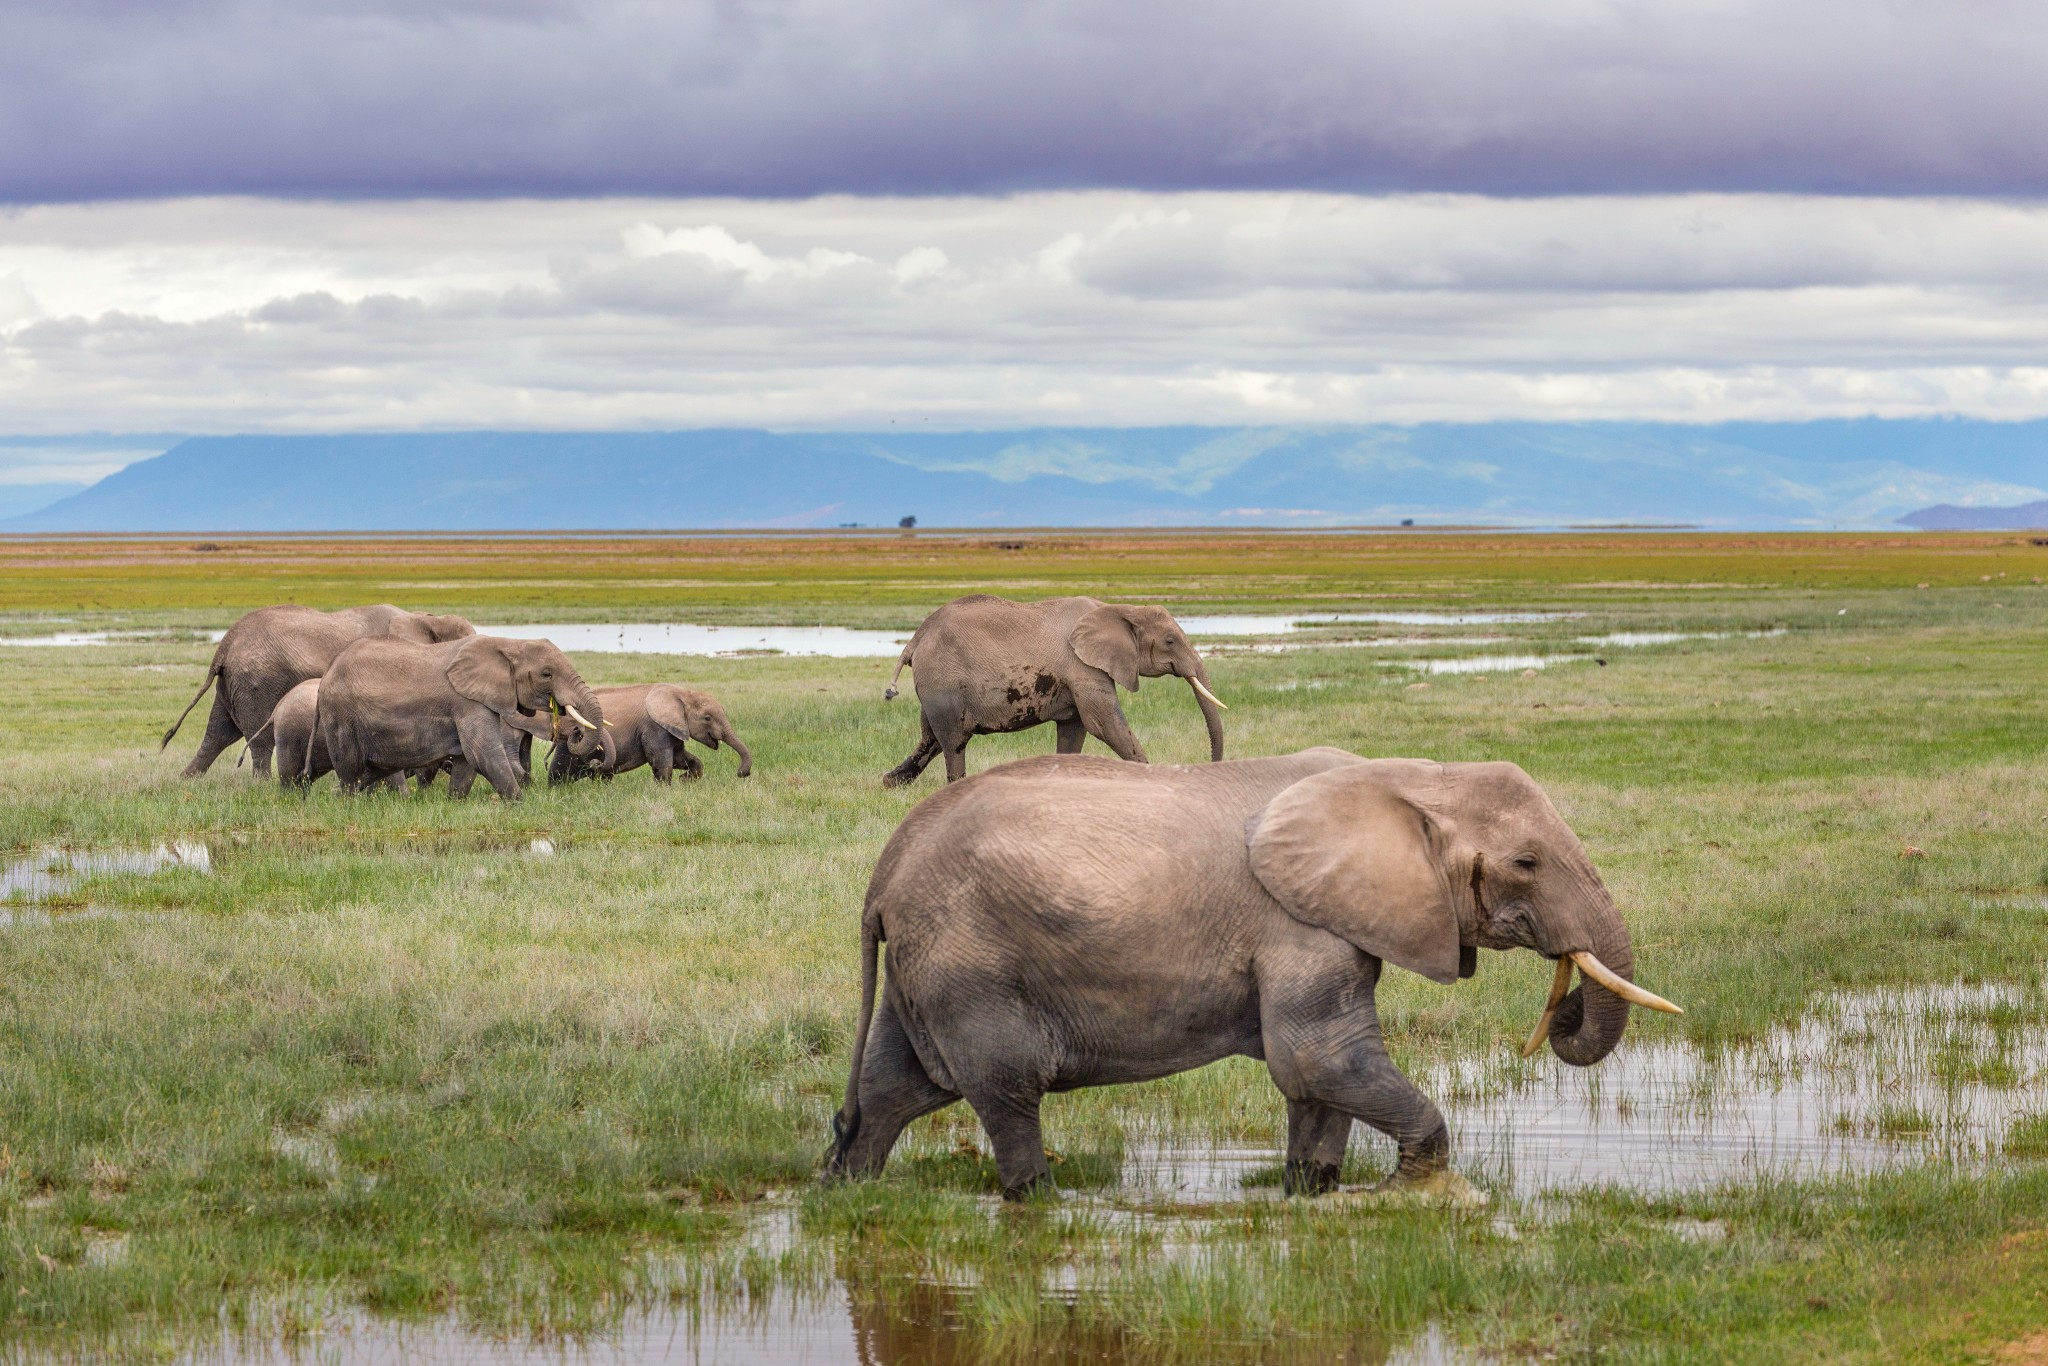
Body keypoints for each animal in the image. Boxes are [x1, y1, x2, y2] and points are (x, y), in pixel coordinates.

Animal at [160, 602, 475, 774]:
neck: (424, 618)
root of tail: (225, 644)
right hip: (256, 684)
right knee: (258, 743)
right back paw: (262, 787)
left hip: (234, 685)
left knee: (216, 736)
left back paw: (185, 783)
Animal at [307, 634, 602, 802]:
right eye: (546, 674)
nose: (575, 733)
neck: (508, 643)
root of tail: (326, 677)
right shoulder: (467, 703)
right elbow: (483, 754)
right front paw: (520, 803)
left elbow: (466, 763)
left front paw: (454, 802)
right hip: (342, 718)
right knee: (351, 769)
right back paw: (347, 804)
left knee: (369, 771)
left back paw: (336, 799)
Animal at [548, 684, 757, 790]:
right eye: (707, 718)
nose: (742, 774)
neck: (683, 693)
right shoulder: (654, 728)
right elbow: (661, 760)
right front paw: (665, 790)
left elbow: (681, 757)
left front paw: (684, 780)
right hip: (572, 743)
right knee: (559, 772)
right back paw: (557, 791)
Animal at [827, 749, 1679, 1196]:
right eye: (1527, 863)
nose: (1562, 1012)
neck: (1407, 775)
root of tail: (882, 878)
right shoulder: (1299, 927)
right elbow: (1319, 1058)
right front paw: (1420, 1190)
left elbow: (1314, 1078)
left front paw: (1313, 1188)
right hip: (969, 960)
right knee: (1005, 1089)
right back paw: (1034, 1198)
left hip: (931, 965)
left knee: (893, 1087)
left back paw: (849, 1191)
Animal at [876, 593, 1220, 786]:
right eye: (1170, 641)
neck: (1118, 609)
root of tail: (915, 639)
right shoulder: (1082, 666)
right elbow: (1104, 724)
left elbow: (1074, 728)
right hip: (944, 680)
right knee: (953, 742)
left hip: (937, 687)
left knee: (931, 737)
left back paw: (890, 783)